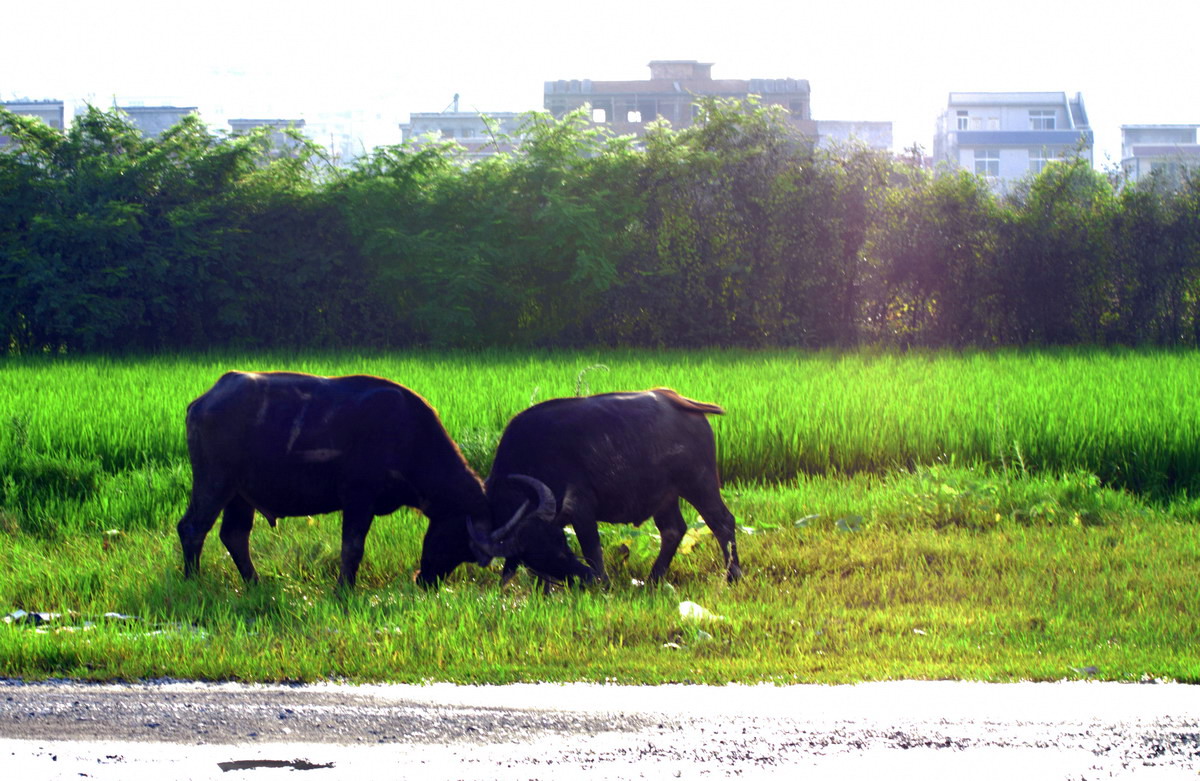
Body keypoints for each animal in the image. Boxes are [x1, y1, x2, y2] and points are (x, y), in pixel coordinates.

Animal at [178, 371, 511, 585]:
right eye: (460, 540)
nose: (427, 580)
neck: (409, 436)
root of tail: (202, 402)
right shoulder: (358, 498)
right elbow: (352, 548)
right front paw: (344, 589)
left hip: (240, 495)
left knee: (234, 535)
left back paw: (254, 583)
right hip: (214, 482)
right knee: (193, 528)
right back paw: (193, 580)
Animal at [475, 388, 739, 585]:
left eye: (562, 547)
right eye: (537, 554)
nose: (585, 578)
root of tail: (681, 401)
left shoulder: (580, 508)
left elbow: (592, 551)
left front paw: (604, 584)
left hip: (700, 483)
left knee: (722, 522)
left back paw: (732, 576)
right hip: (665, 496)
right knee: (673, 530)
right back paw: (653, 578)